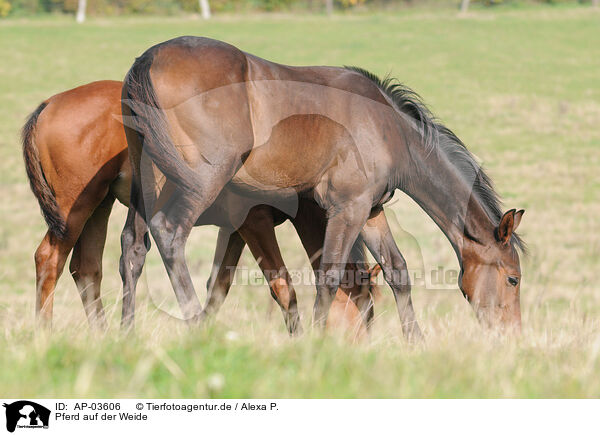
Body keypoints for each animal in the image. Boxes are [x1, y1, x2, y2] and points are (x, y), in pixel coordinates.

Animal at [24, 80, 380, 338]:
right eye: (365, 312)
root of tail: (50, 104)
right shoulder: (254, 224)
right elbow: (280, 284)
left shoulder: (235, 229)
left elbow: (219, 284)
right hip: (73, 211)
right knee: (49, 259)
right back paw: (45, 335)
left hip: (99, 206)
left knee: (85, 268)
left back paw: (102, 336)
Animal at [122, 36, 524, 338]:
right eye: (513, 279)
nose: (511, 335)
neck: (387, 127)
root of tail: (148, 59)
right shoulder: (347, 209)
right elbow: (328, 277)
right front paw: (315, 342)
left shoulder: (370, 210)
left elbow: (397, 271)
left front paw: (416, 342)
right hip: (199, 180)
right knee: (169, 232)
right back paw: (191, 324)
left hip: (148, 184)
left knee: (133, 248)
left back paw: (128, 333)